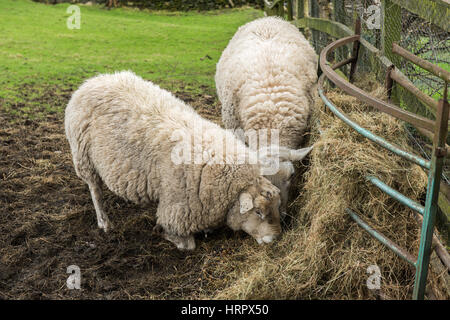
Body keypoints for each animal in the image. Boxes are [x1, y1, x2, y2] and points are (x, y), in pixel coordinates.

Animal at [64, 71, 282, 251]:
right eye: (258, 212)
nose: (275, 238)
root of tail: (93, 81)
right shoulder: (177, 207)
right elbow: (187, 245)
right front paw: (164, 233)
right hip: (84, 158)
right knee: (95, 190)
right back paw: (104, 222)